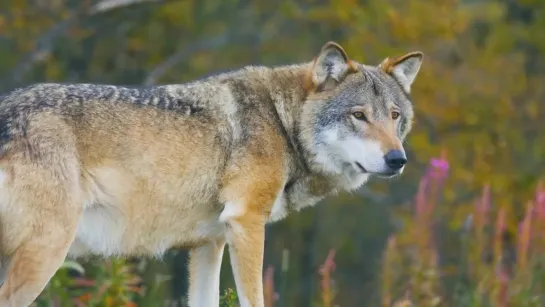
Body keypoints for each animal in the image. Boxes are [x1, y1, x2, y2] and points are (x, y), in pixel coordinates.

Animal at [0, 41, 420, 307]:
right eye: (359, 115)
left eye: (394, 116)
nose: (397, 159)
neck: (282, 122)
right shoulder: (246, 223)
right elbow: (255, 299)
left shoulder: (209, 243)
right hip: (47, 252)